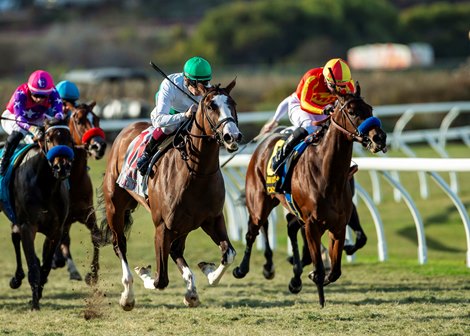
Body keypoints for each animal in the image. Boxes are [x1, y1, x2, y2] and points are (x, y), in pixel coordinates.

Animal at [2, 119, 74, 312]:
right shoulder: (28, 226)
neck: (45, 186)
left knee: (14, 236)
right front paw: (35, 303)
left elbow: (45, 266)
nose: (62, 167)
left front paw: (38, 294)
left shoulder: (55, 230)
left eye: (70, 138)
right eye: (48, 138)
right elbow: (33, 266)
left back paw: (17, 278)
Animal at [51, 101, 106, 284]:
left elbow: (96, 236)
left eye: (97, 119)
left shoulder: (87, 212)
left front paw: (93, 274)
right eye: (79, 120)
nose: (99, 146)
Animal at [103, 79, 242, 310]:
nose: (233, 136)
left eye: (233, 103)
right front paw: (144, 273)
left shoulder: (212, 219)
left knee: (176, 250)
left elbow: (229, 253)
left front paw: (208, 273)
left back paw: (191, 290)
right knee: (119, 244)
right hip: (115, 207)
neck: (196, 173)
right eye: (210, 106)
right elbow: (160, 280)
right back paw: (128, 295)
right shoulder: (162, 227)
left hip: (184, 225)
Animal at [233, 82, 388, 308]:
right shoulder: (313, 225)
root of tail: (264, 143)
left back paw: (294, 276)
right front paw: (319, 293)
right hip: (259, 202)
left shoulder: (338, 224)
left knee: (288, 227)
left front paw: (312, 276)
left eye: (370, 109)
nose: (379, 138)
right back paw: (247, 268)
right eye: (352, 112)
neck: (327, 173)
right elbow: (321, 267)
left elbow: (335, 270)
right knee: (253, 231)